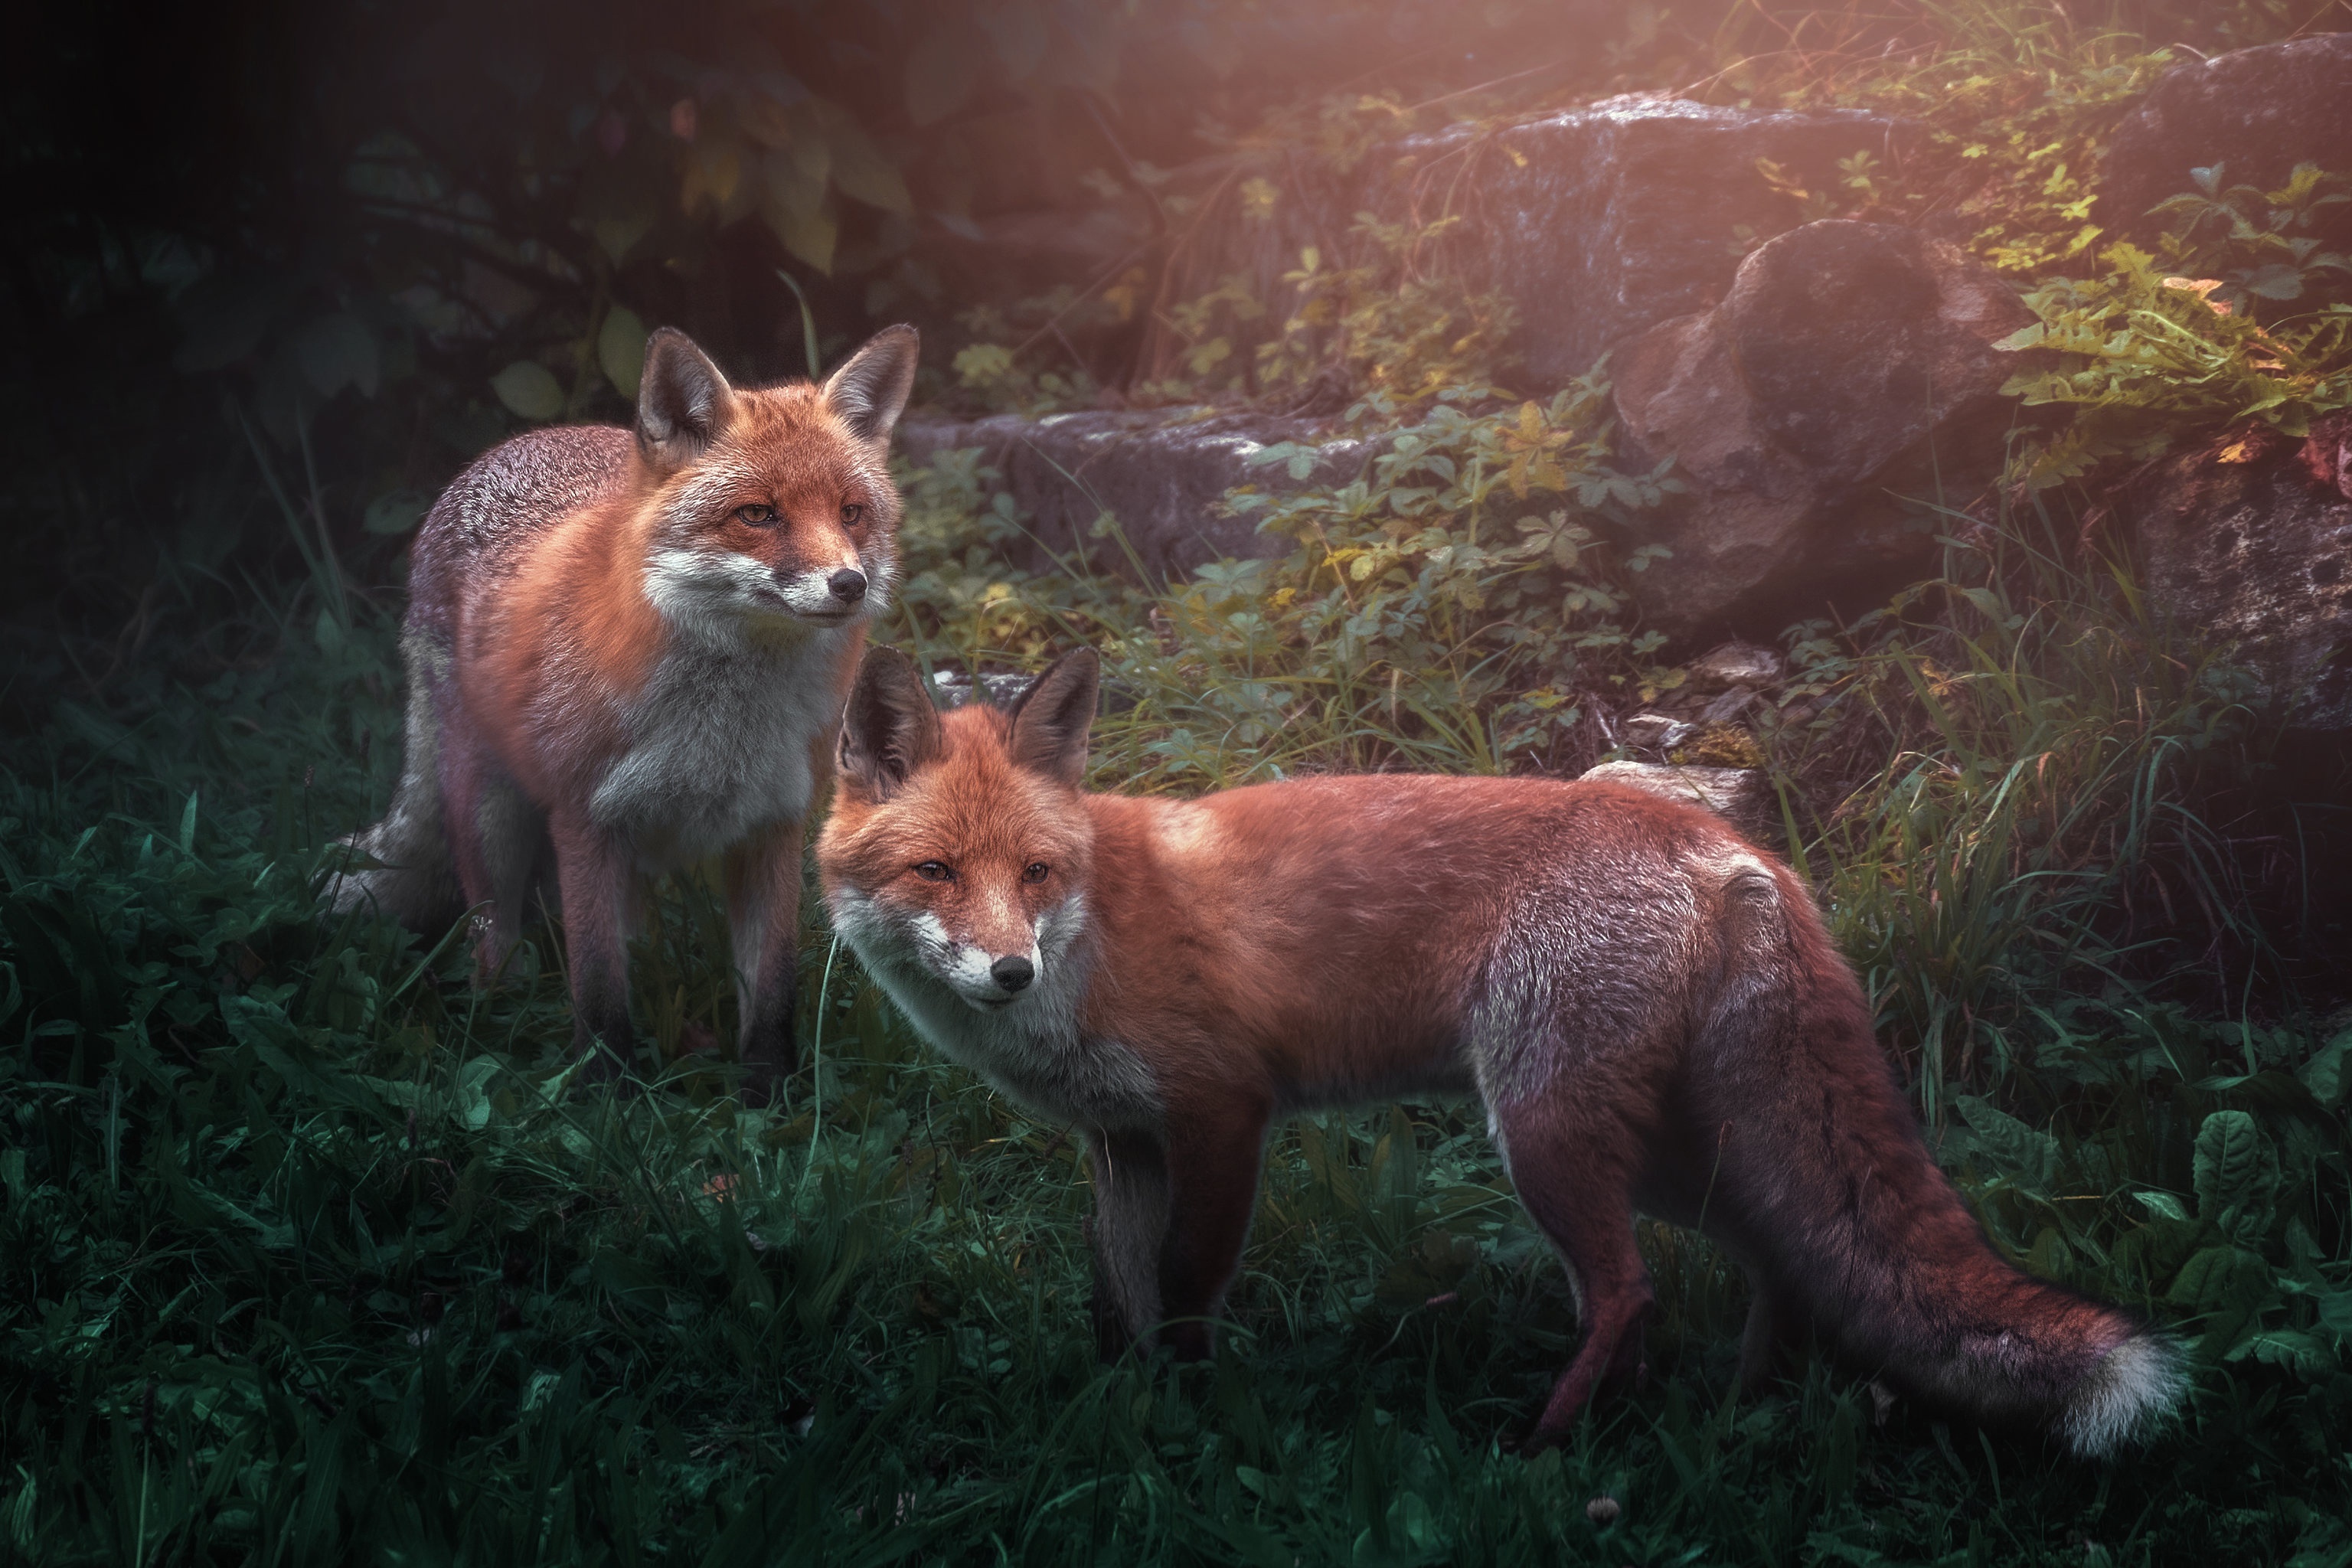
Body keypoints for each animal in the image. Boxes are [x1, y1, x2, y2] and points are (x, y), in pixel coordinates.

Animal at [328, 323, 919, 1087]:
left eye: (852, 513)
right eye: (758, 514)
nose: (848, 584)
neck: (721, 733)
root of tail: (507, 448)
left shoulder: (775, 825)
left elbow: (771, 989)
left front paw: (769, 1091)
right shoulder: (585, 822)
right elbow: (599, 987)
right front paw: (601, 1088)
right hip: (492, 819)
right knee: (494, 940)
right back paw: (496, 1022)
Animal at [814, 643, 2186, 1457]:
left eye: (1036, 874)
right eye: (937, 872)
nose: (1009, 971)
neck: (1096, 934)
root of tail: (1731, 846)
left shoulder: (1220, 1112)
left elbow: (1189, 1289)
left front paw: (1191, 1425)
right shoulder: (1123, 1142)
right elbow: (1120, 1303)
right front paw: (1128, 1419)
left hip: (1542, 1128)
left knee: (1629, 1288)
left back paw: (1542, 1448)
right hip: (1665, 1143)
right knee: (1776, 1258)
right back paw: (1741, 1416)